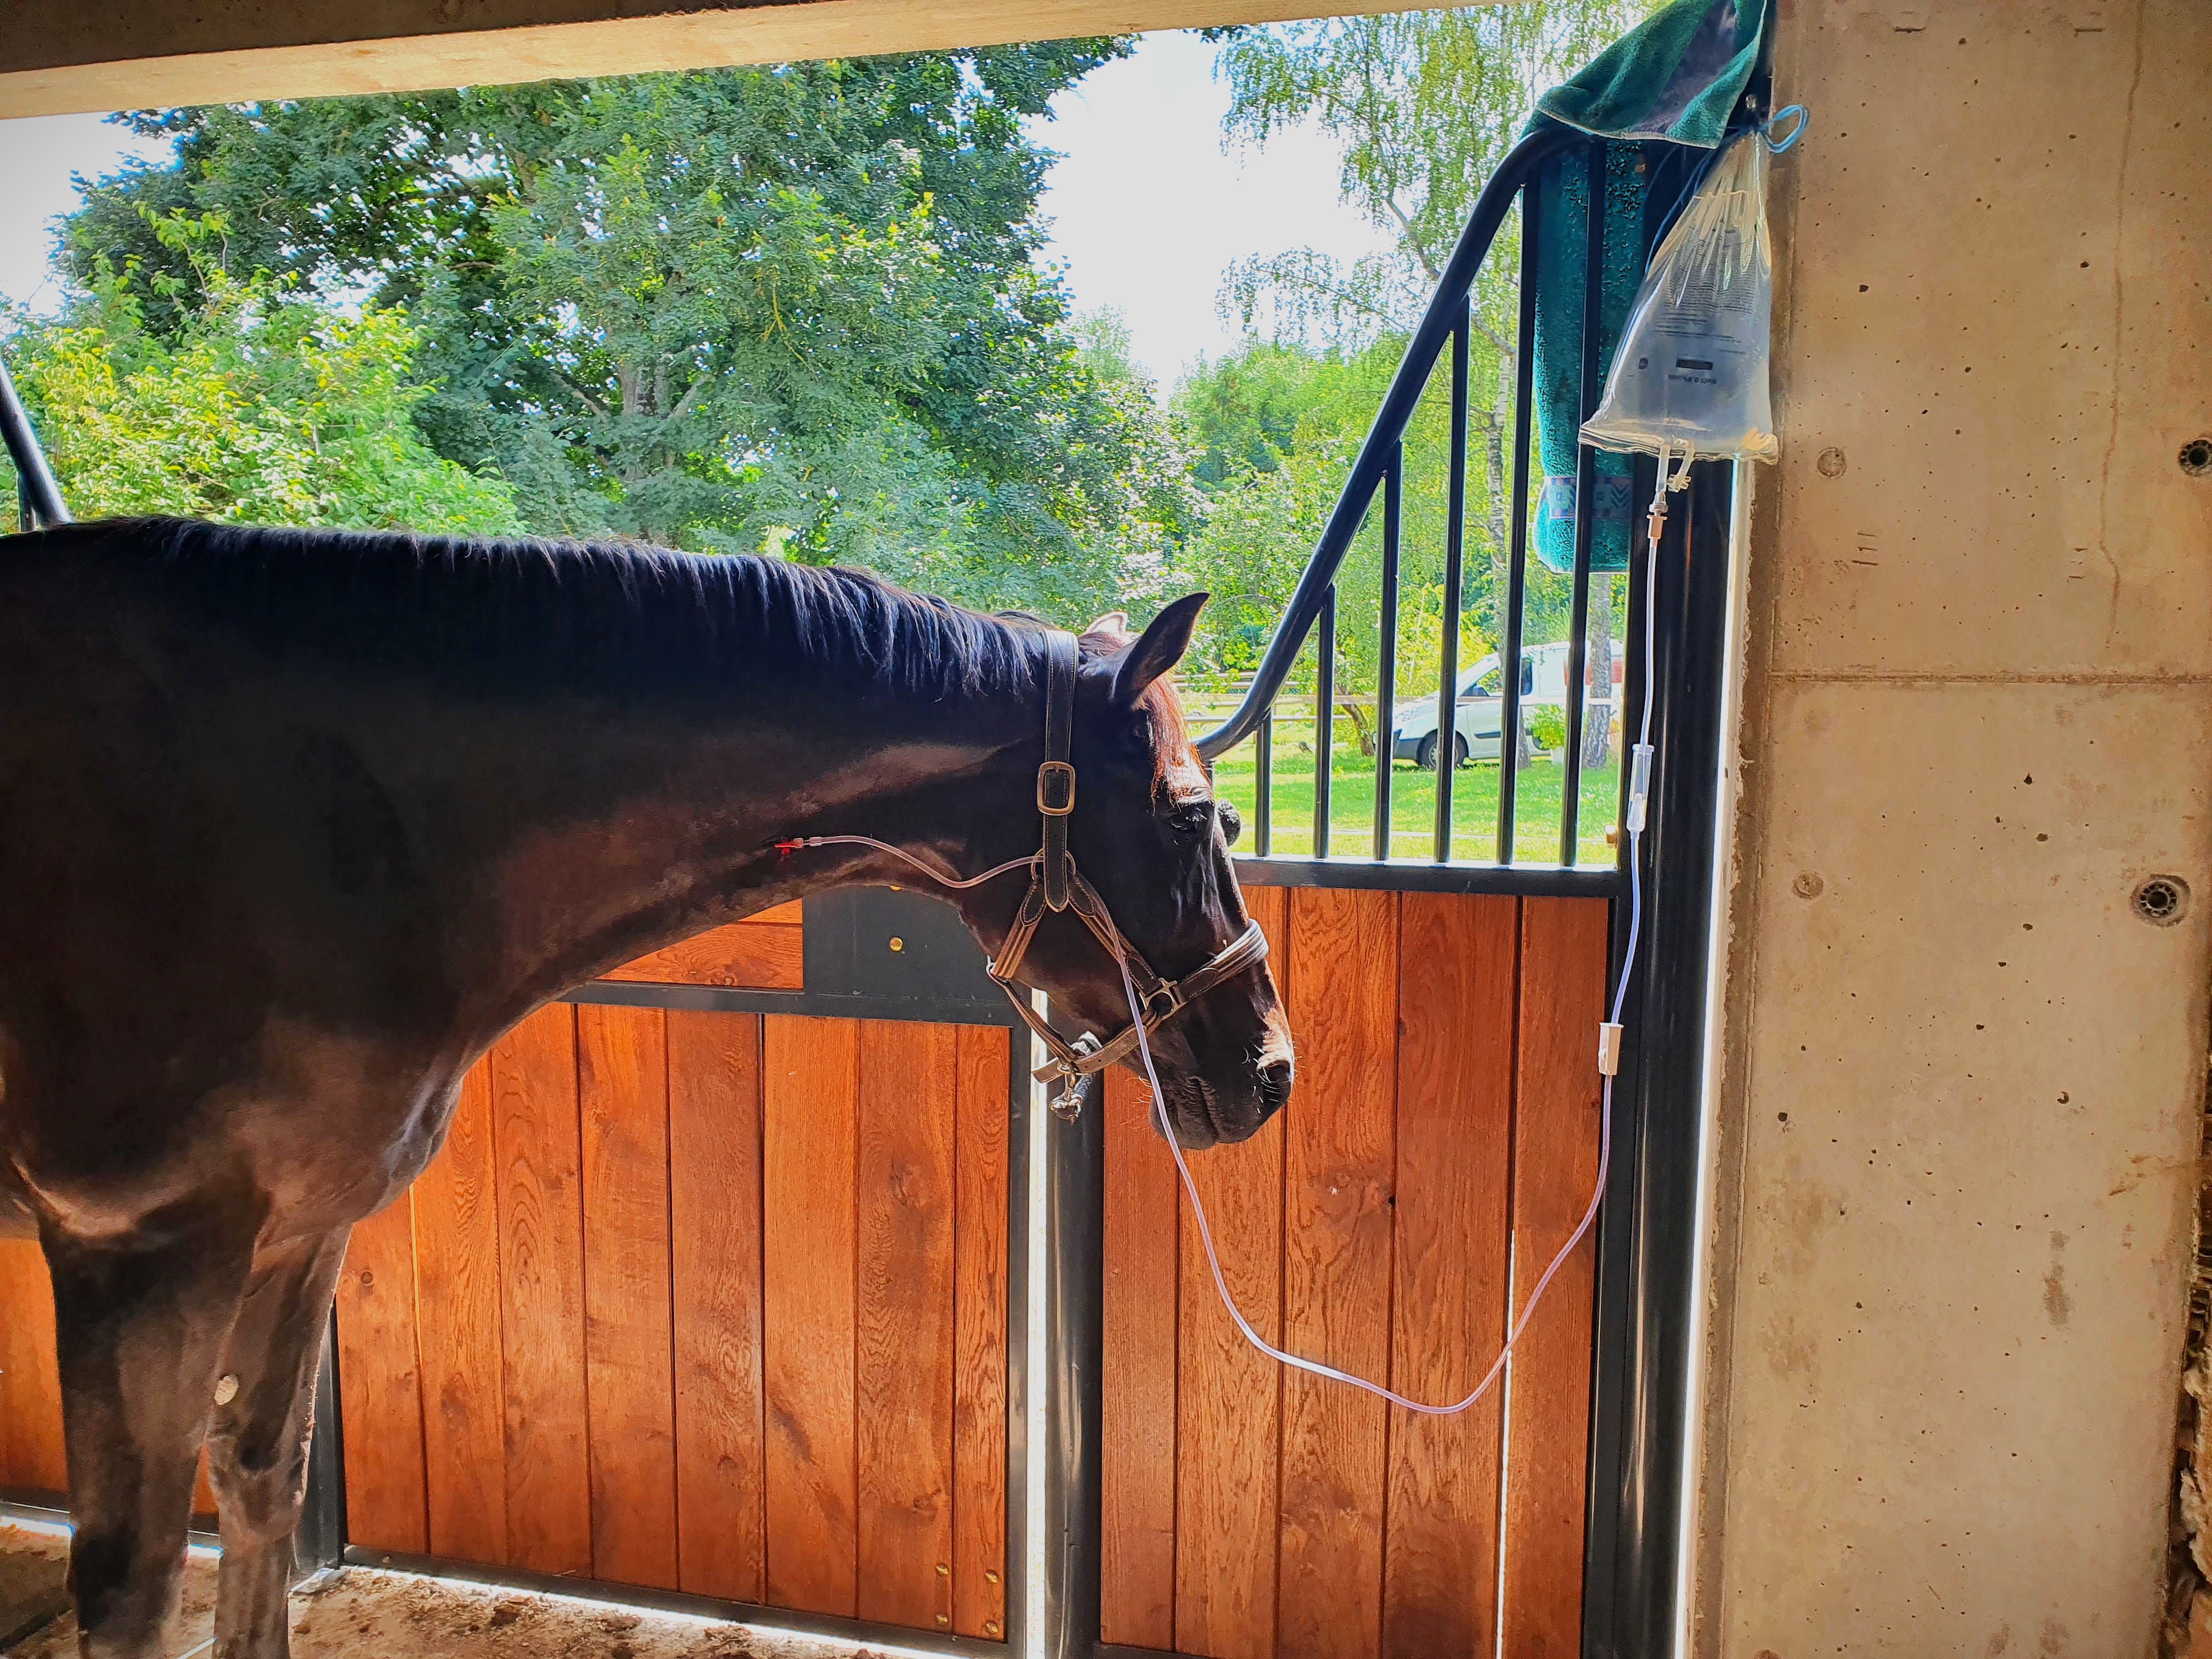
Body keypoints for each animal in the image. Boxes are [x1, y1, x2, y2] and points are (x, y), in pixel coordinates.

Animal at [0, 516, 1292, 1659]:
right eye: (1190, 815)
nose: (1271, 1069)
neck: (339, 824)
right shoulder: (141, 1251)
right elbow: (131, 1593)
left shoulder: (299, 1230)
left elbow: (263, 1488)